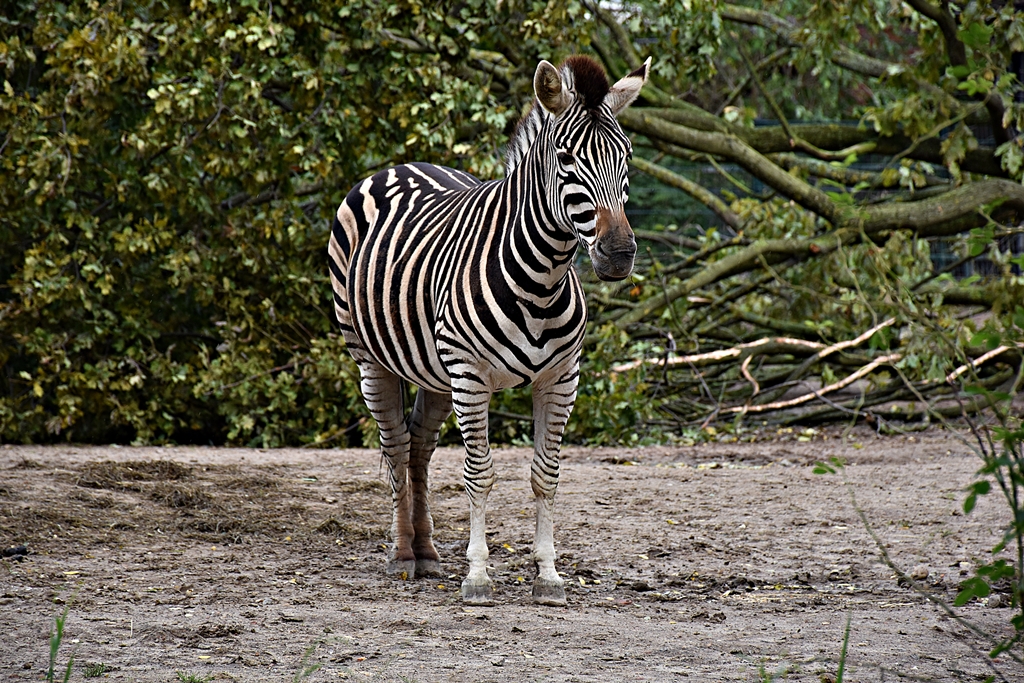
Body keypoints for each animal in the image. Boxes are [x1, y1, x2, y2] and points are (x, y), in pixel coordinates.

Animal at [328, 54, 650, 606]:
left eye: (626, 156)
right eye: (566, 158)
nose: (619, 254)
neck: (541, 281)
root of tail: (401, 164)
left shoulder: (561, 379)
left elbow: (546, 476)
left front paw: (548, 575)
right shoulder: (471, 374)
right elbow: (479, 474)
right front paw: (478, 576)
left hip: (436, 373)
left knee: (419, 446)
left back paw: (426, 551)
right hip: (374, 360)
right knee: (395, 445)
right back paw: (401, 555)